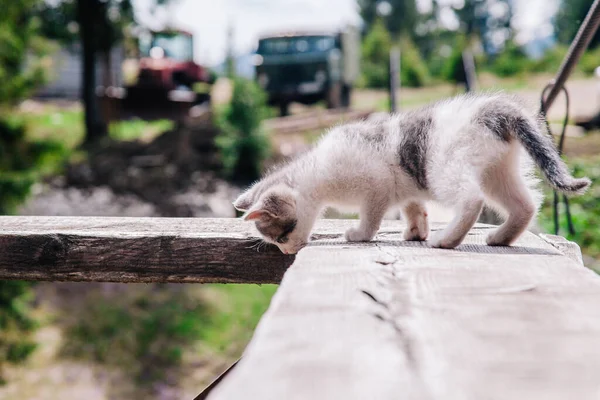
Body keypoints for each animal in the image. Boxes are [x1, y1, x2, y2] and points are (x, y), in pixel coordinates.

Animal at [232, 94, 588, 255]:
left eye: (280, 236)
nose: (287, 252)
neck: (315, 173)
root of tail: (498, 109)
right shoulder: (404, 189)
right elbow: (414, 208)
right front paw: (416, 232)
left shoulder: (375, 187)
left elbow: (371, 218)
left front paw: (359, 235)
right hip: (498, 172)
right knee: (526, 204)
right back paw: (501, 237)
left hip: (447, 169)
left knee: (471, 200)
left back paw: (447, 239)